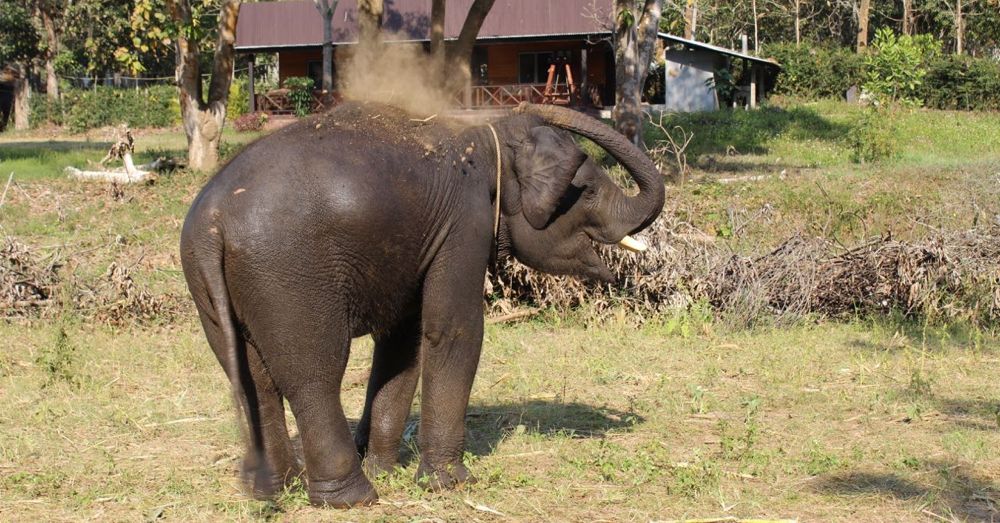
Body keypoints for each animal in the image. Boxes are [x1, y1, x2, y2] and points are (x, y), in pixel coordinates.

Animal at [180, 100, 664, 506]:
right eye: (588, 189)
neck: (487, 138)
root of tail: (213, 222)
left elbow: (403, 343)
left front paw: (386, 467)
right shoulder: (464, 222)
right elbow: (453, 328)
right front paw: (450, 483)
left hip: (212, 287)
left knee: (252, 379)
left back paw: (276, 489)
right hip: (288, 275)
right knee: (313, 375)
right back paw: (351, 499)